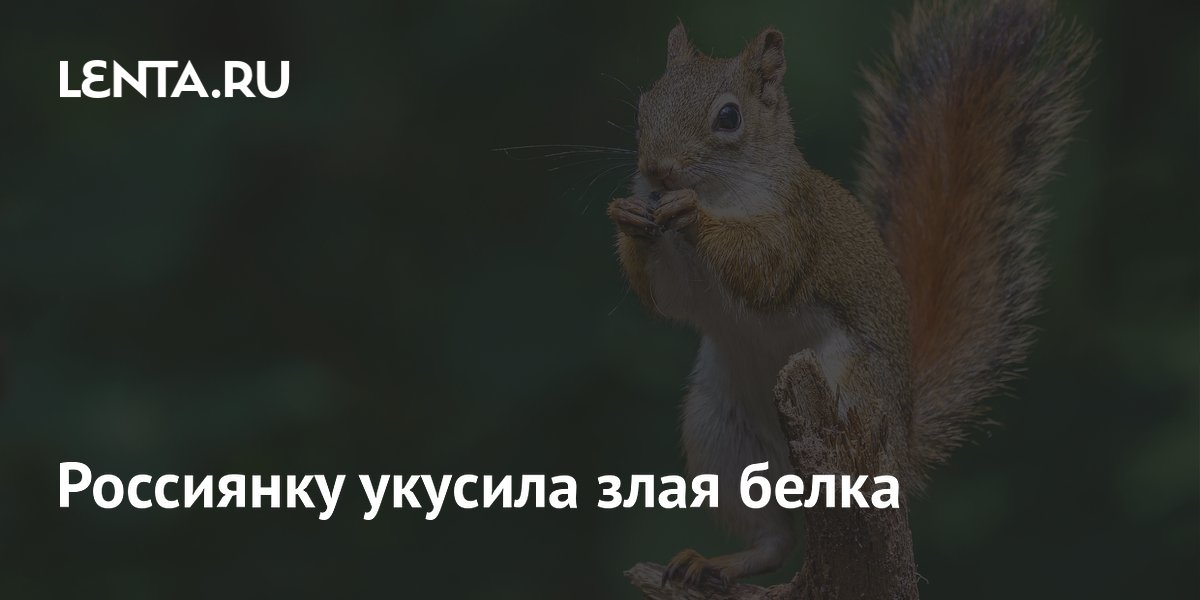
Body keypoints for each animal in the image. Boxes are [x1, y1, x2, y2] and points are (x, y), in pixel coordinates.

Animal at [606, 0, 1093, 586]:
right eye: (644, 105)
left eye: (729, 117)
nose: (656, 172)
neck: (721, 190)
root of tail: (904, 442)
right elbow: (672, 296)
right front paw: (630, 218)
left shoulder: (797, 224)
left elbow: (765, 266)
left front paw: (692, 215)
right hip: (721, 435)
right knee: (773, 539)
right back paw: (713, 562)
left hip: (851, 389)